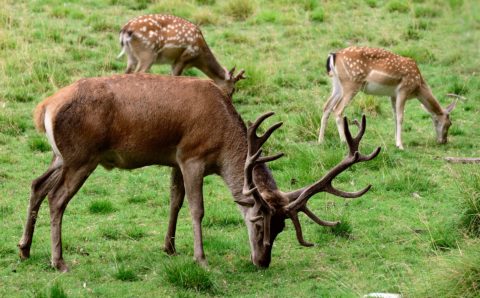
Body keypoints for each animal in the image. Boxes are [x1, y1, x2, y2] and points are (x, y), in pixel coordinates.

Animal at [17, 73, 378, 272]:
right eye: (258, 223)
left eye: (281, 229)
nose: (262, 262)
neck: (222, 140)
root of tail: (44, 108)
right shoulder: (192, 156)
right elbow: (196, 208)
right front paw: (200, 258)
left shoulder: (175, 159)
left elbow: (175, 201)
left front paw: (170, 247)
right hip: (82, 157)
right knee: (57, 198)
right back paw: (59, 261)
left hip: (61, 156)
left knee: (36, 185)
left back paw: (24, 249)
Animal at [116, 14, 244, 96]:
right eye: (233, 89)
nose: (228, 100)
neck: (198, 57)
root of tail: (125, 30)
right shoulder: (183, 58)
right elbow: (175, 77)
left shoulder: (174, 62)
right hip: (147, 53)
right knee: (138, 73)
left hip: (131, 55)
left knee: (126, 72)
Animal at [318, 46, 458, 149]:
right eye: (449, 123)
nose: (443, 141)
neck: (418, 86)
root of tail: (333, 55)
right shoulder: (403, 90)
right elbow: (401, 117)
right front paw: (400, 145)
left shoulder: (392, 95)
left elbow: (395, 117)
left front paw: (395, 142)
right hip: (351, 84)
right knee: (337, 109)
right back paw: (343, 141)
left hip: (337, 85)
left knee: (326, 107)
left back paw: (320, 141)